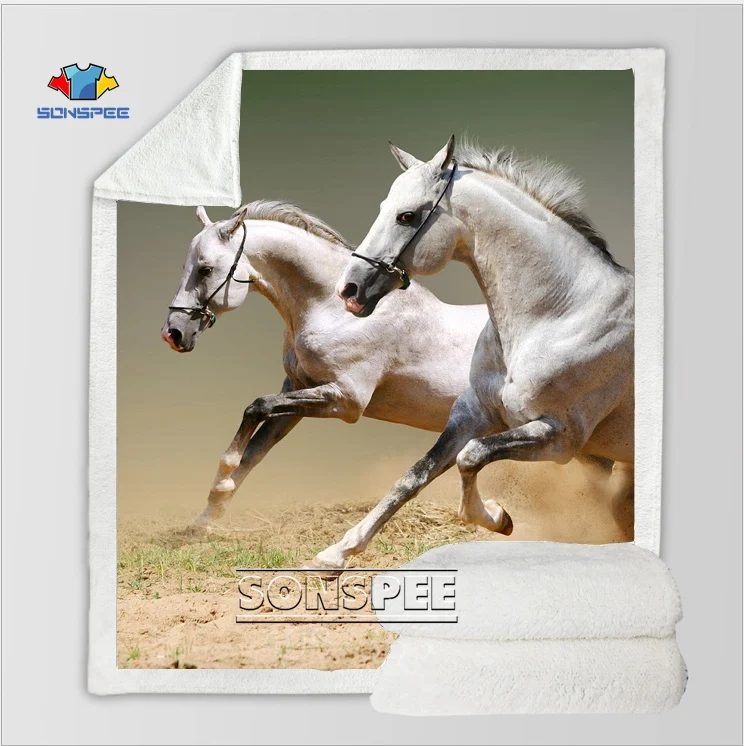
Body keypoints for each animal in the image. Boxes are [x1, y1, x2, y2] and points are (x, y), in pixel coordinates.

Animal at [329, 135, 634, 568]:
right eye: (384, 208)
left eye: (406, 216)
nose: (349, 290)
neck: (559, 314)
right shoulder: (474, 413)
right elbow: (415, 474)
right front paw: (336, 552)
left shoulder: (557, 437)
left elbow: (471, 457)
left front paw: (496, 517)